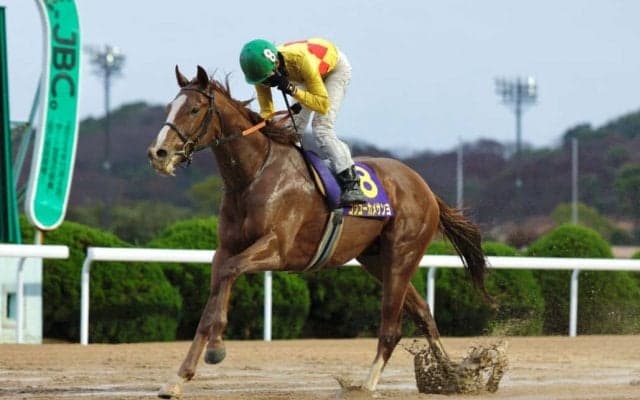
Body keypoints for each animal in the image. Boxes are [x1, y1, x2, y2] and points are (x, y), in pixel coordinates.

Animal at [147, 65, 490, 398]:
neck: (254, 175)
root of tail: (425, 188)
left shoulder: (277, 248)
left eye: (193, 109)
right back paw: (456, 378)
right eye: (169, 107)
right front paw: (177, 378)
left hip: (402, 254)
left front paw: (217, 349)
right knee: (423, 314)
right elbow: (210, 304)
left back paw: (367, 386)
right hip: (376, 260)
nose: (158, 153)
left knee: (392, 326)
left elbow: (230, 273)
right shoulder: (225, 250)